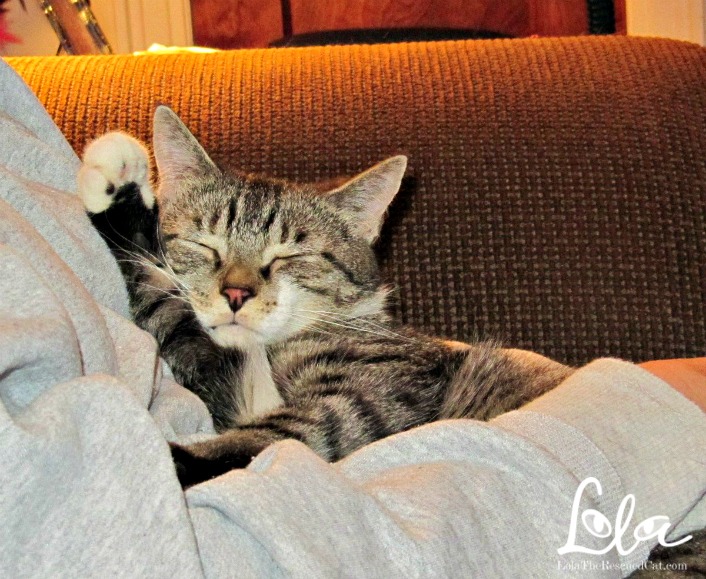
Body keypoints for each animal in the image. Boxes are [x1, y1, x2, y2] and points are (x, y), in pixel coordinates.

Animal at [78, 105, 572, 490]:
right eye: (207, 244)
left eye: (289, 255)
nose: (236, 292)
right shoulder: (218, 371)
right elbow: (157, 294)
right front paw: (119, 188)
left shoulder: (369, 397)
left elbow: (285, 433)